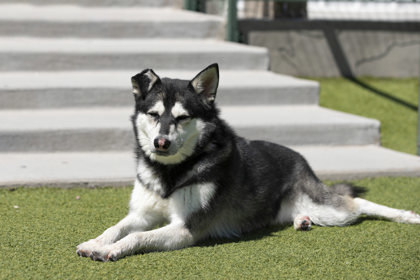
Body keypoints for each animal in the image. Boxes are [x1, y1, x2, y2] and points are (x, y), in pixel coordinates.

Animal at [77, 64, 420, 262]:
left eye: (183, 117)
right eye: (153, 114)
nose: (161, 143)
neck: (171, 171)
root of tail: (302, 159)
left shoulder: (187, 228)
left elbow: (136, 237)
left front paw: (110, 250)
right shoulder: (142, 213)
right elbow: (116, 227)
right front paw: (95, 242)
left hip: (330, 210)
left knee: (357, 203)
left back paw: (405, 215)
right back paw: (302, 221)